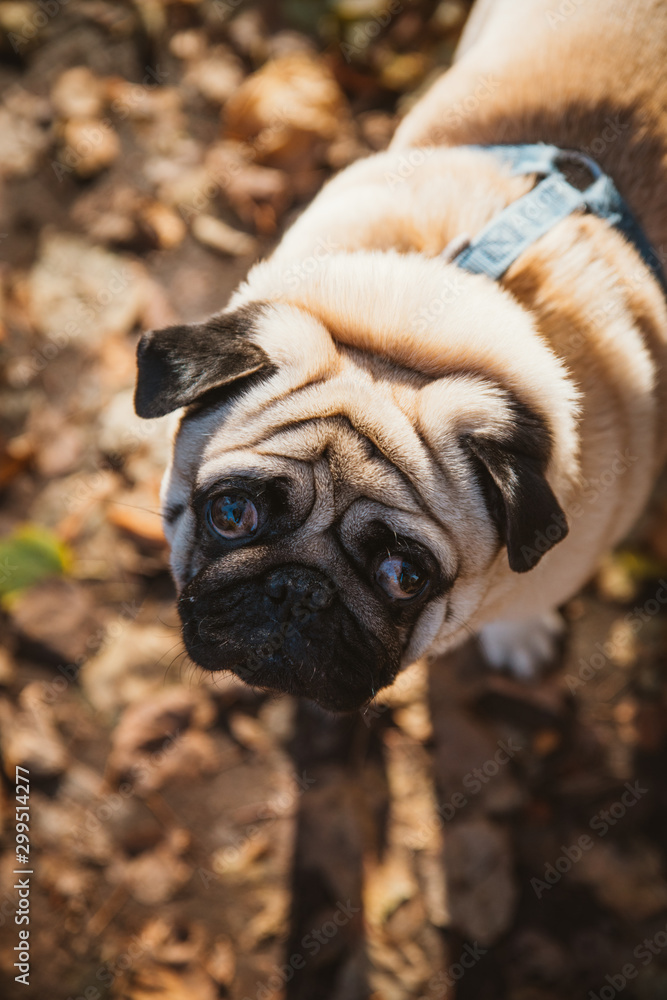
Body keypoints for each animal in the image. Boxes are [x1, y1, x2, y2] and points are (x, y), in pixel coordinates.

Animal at [134, 0, 667, 712]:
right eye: (230, 514)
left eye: (403, 575)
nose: (298, 589)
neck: (410, 341)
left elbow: (523, 606)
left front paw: (518, 634)